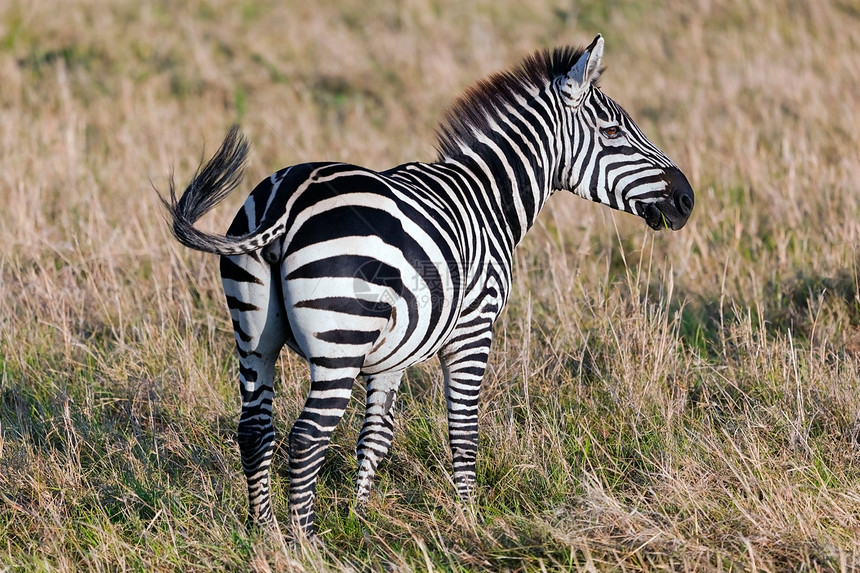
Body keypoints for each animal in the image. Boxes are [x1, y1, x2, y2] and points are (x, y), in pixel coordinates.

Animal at [161, 34, 696, 536]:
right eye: (612, 132)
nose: (686, 199)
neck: (489, 199)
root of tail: (287, 201)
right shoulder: (473, 330)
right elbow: (464, 430)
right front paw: (470, 519)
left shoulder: (393, 350)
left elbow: (376, 435)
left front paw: (360, 517)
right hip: (339, 343)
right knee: (307, 436)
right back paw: (305, 543)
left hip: (254, 337)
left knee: (255, 429)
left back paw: (265, 535)